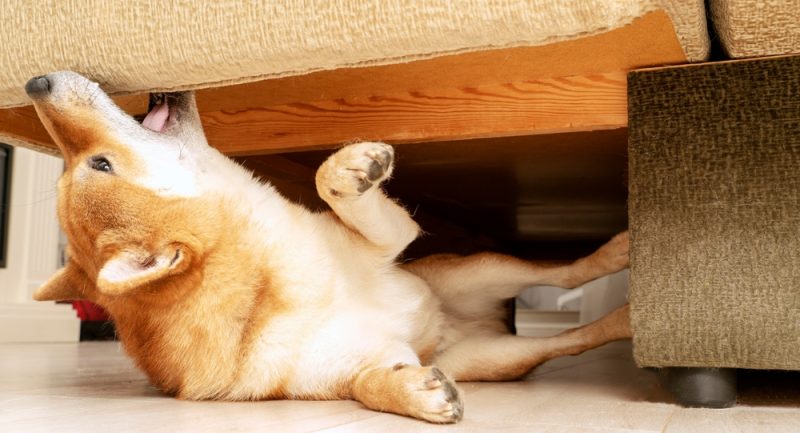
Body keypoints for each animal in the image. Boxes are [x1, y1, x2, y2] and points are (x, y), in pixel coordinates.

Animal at [28, 70, 636, 422]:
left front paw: (350, 167)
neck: (281, 289)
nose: (35, 83)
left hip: (482, 269)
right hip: (495, 356)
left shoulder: (388, 239)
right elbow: (367, 386)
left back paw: (617, 256)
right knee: (576, 336)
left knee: (565, 273)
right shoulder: (336, 373)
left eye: (93, 165)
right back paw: (626, 316)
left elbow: (329, 184)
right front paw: (415, 393)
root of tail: (483, 322)